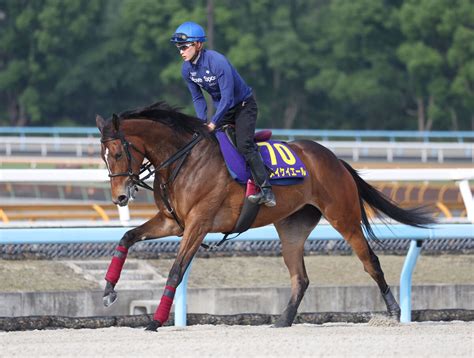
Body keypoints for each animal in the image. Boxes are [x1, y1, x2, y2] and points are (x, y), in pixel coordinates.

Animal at [95, 100, 434, 330]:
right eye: (103, 156)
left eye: (119, 153)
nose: (119, 197)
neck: (183, 160)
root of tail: (335, 159)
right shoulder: (172, 222)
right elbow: (127, 237)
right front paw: (109, 290)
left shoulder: (198, 224)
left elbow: (176, 271)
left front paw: (156, 321)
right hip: (292, 227)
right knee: (300, 277)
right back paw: (283, 319)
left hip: (343, 217)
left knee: (370, 260)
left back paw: (393, 311)